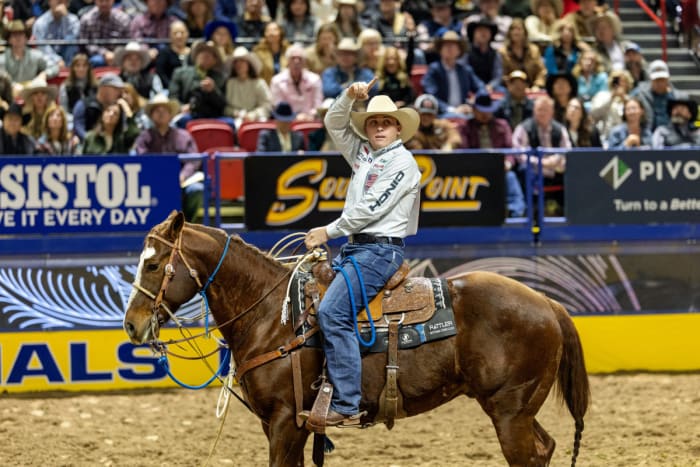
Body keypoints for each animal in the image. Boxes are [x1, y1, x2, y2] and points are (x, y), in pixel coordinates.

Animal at [123, 213, 588, 467]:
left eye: (154, 264)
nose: (131, 325)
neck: (272, 314)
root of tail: (549, 304)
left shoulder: (285, 421)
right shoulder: (286, 425)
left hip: (509, 412)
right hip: (515, 409)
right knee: (546, 448)